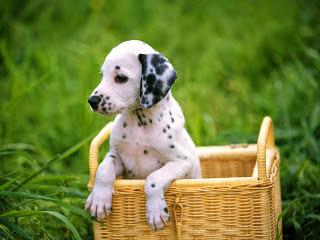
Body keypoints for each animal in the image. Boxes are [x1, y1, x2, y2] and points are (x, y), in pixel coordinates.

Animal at [84, 40, 201, 232]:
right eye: (102, 75)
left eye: (121, 78)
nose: (92, 102)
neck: (140, 122)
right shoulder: (118, 158)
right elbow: (103, 168)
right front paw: (99, 199)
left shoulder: (183, 161)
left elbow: (153, 179)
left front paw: (155, 212)